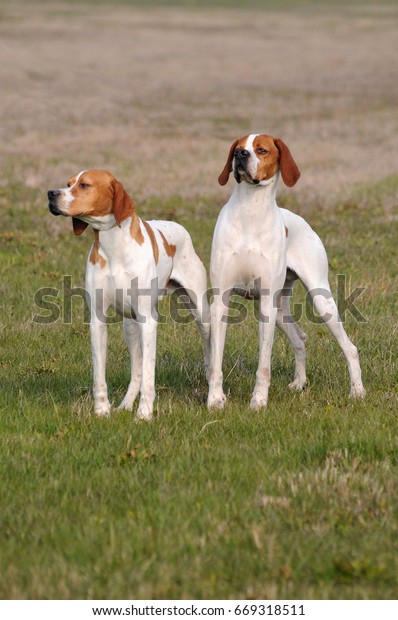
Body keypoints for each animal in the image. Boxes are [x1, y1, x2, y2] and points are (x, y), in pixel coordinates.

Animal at [47, 170, 210, 418]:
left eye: (84, 185)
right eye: (68, 184)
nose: (51, 194)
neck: (114, 246)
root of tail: (179, 227)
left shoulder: (148, 321)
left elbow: (149, 376)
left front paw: (144, 413)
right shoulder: (98, 321)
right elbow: (100, 375)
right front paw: (102, 410)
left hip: (201, 314)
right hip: (130, 327)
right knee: (137, 371)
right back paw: (125, 404)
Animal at [207, 133, 366, 410]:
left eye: (261, 150)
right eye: (238, 148)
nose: (241, 156)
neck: (250, 210)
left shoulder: (266, 306)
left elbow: (264, 365)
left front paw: (258, 401)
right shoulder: (221, 302)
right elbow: (216, 361)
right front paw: (216, 399)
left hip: (319, 300)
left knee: (350, 348)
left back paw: (357, 391)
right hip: (280, 310)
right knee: (299, 338)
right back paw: (299, 383)